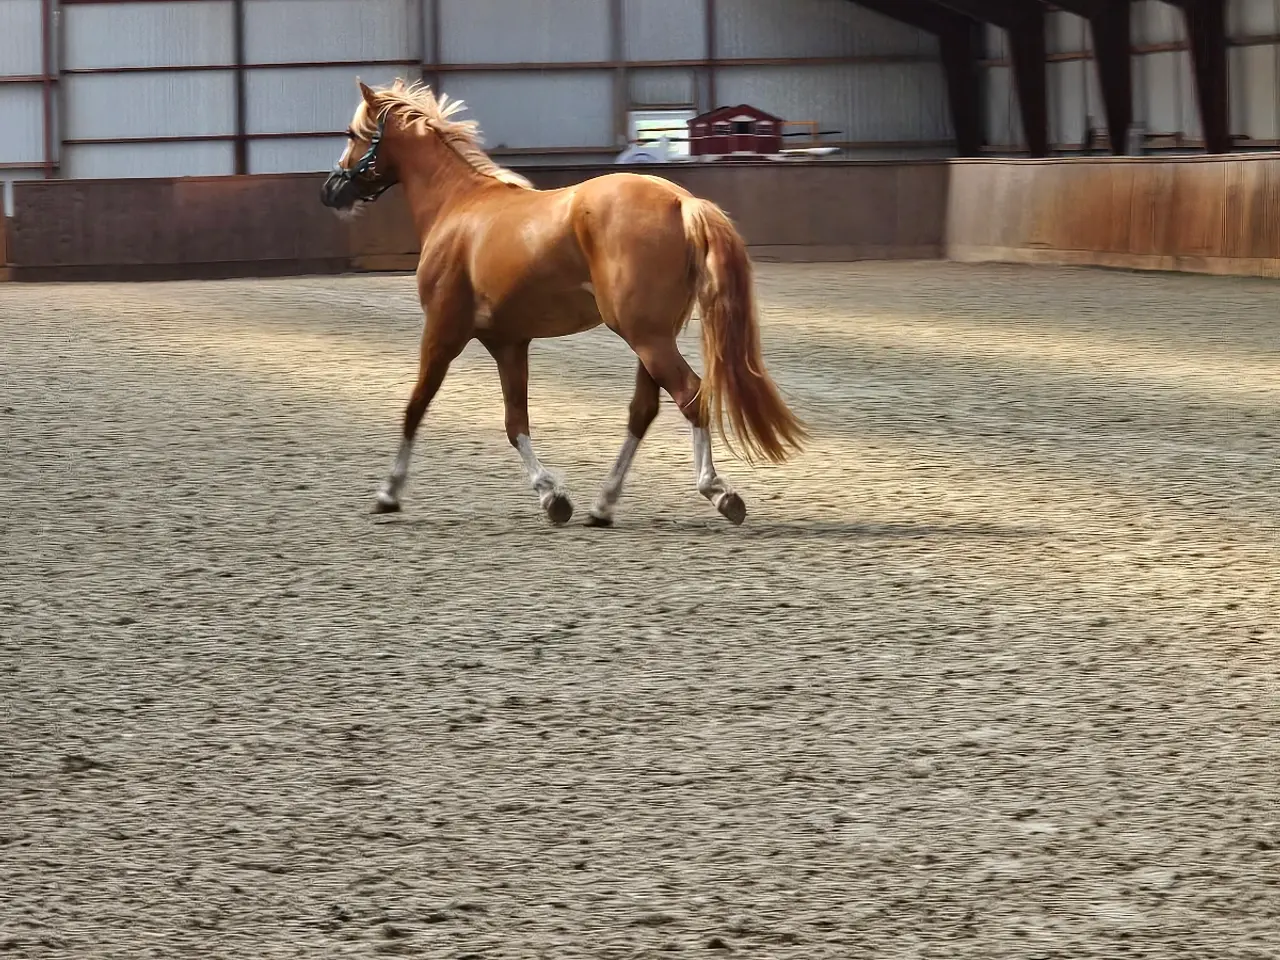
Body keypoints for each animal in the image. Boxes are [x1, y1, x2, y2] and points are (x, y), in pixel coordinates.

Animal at [320, 79, 807, 527]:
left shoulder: (442, 332)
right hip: (651, 335)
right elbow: (515, 423)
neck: (457, 207)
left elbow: (415, 407)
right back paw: (603, 505)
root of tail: (681, 200)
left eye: (353, 133)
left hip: (645, 336)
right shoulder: (508, 343)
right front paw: (552, 497)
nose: (330, 190)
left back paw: (718, 492)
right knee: (643, 411)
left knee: (691, 395)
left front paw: (388, 493)